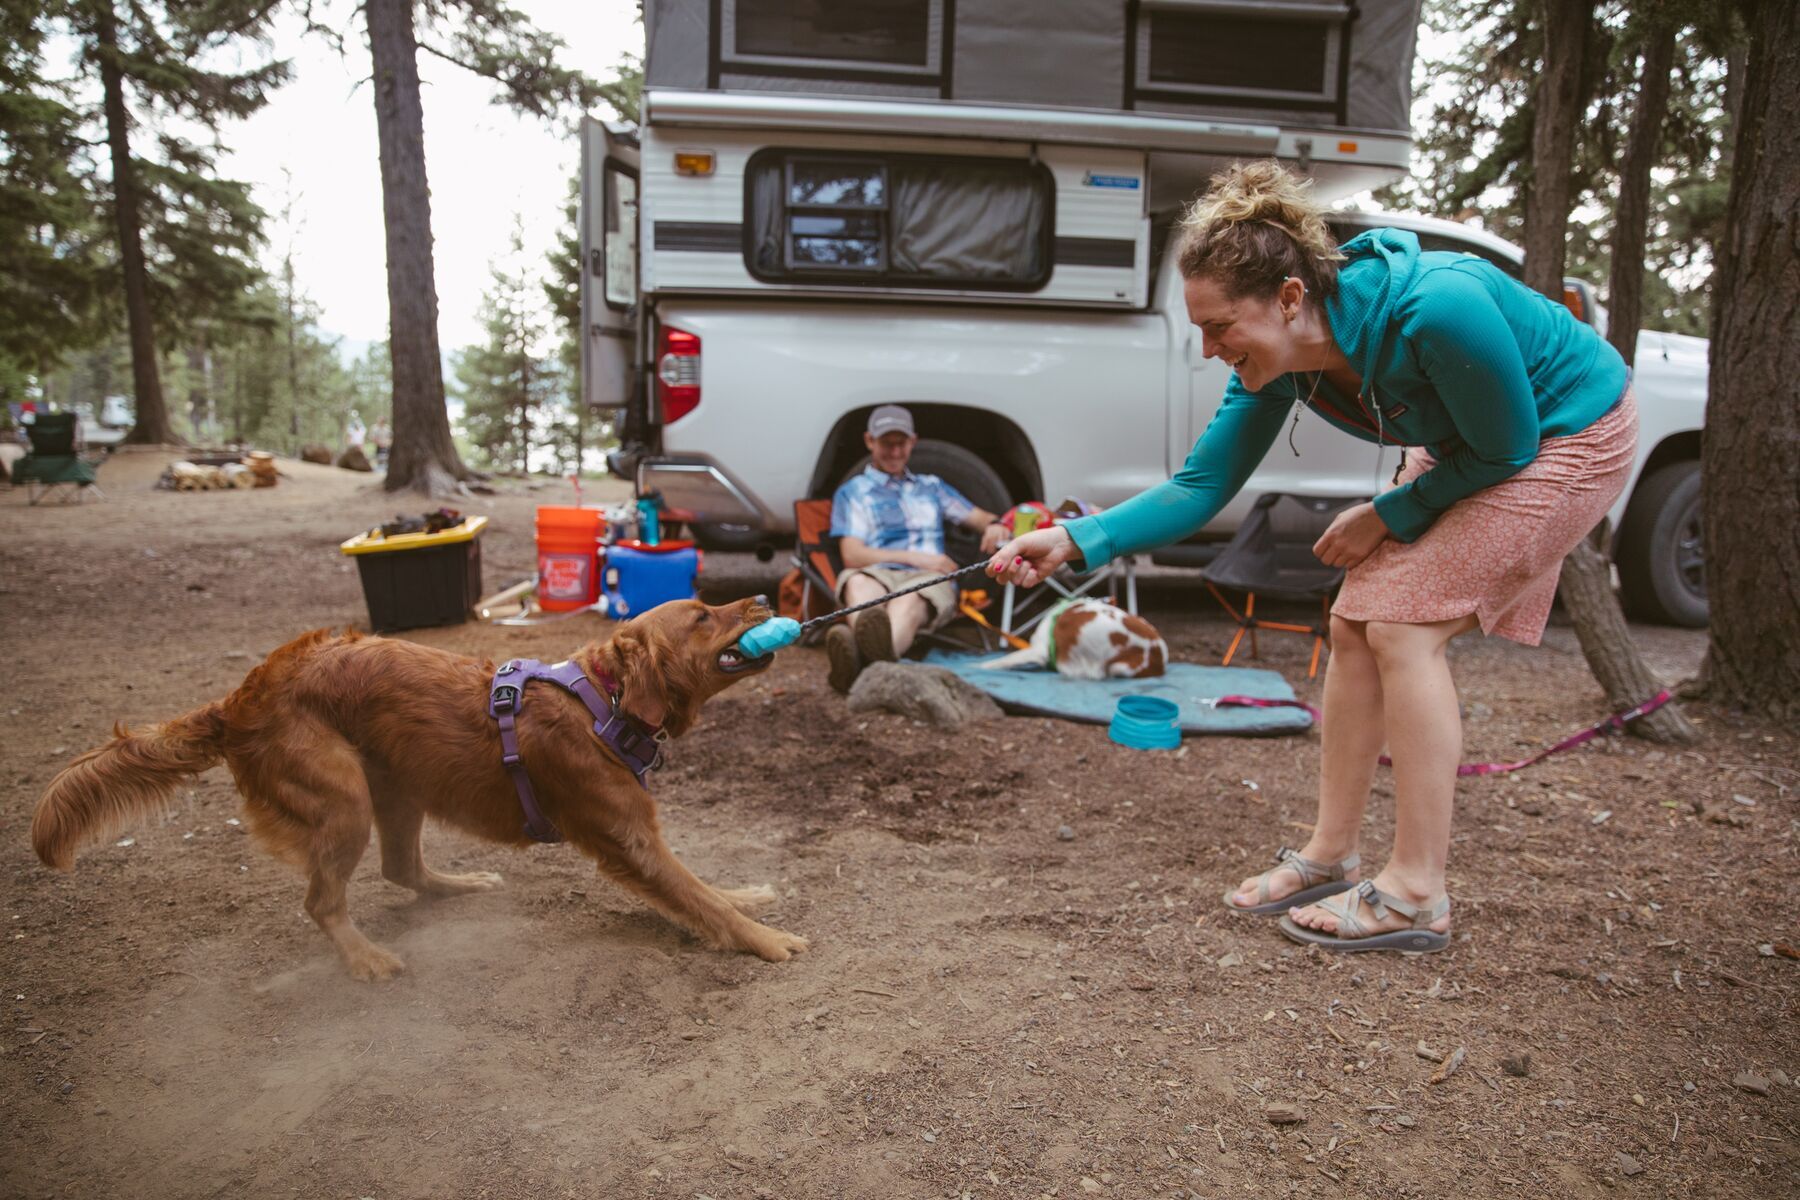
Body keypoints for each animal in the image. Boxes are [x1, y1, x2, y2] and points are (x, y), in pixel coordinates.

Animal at [29, 600, 810, 985]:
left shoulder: (641, 836)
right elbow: (699, 900)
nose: (767, 594)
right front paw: (765, 940)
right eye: (703, 615)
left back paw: (462, 886)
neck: (602, 700)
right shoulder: (628, 840)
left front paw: (749, 898)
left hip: (397, 787)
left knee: (402, 868)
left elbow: (707, 889)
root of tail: (240, 695)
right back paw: (365, 959)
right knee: (323, 901)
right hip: (343, 800)